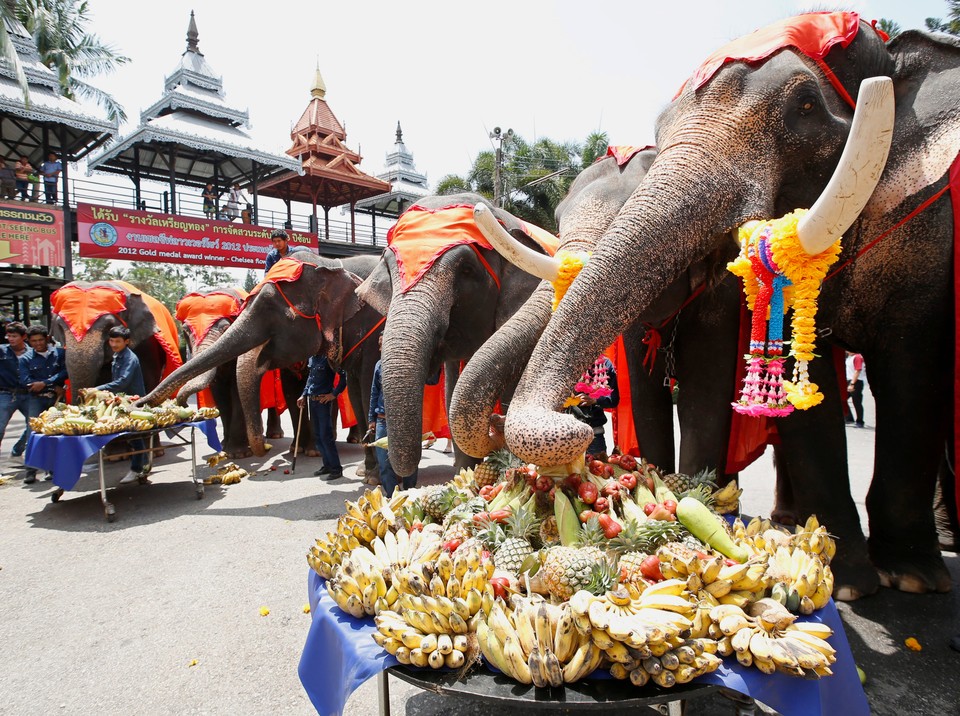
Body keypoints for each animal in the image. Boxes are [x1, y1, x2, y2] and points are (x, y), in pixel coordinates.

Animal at [142, 252, 364, 456]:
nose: (179, 402)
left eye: (225, 328)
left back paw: (351, 439)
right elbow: (288, 392)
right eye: (186, 332)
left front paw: (313, 452)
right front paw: (234, 451)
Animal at [450, 147, 744, 482]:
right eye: (557, 219)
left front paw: (690, 488)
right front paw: (658, 473)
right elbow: (646, 403)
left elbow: (705, 401)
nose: (496, 424)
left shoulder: (725, 299)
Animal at [488, 14, 960, 600]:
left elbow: (912, 370)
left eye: (806, 105)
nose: (578, 430)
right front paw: (852, 584)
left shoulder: (926, 233)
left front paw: (905, 581)